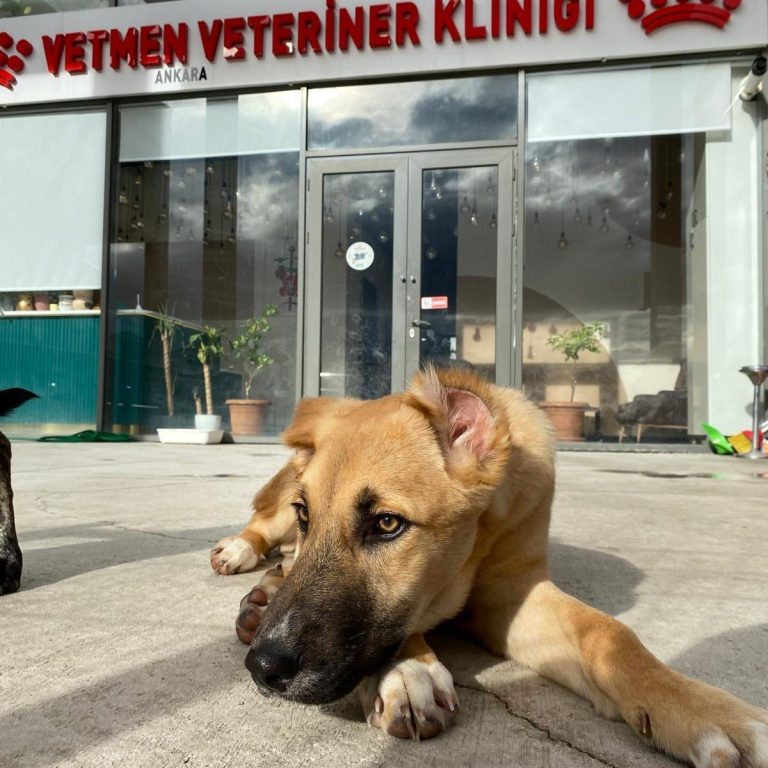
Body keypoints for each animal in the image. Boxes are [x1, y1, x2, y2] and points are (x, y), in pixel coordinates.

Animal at [211, 367, 768, 765]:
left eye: (387, 524)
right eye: (309, 515)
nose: (262, 668)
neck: (476, 545)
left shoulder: (513, 595)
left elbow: (610, 633)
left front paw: (700, 709)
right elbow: (405, 620)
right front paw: (408, 670)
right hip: (280, 504)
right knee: (264, 526)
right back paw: (243, 556)